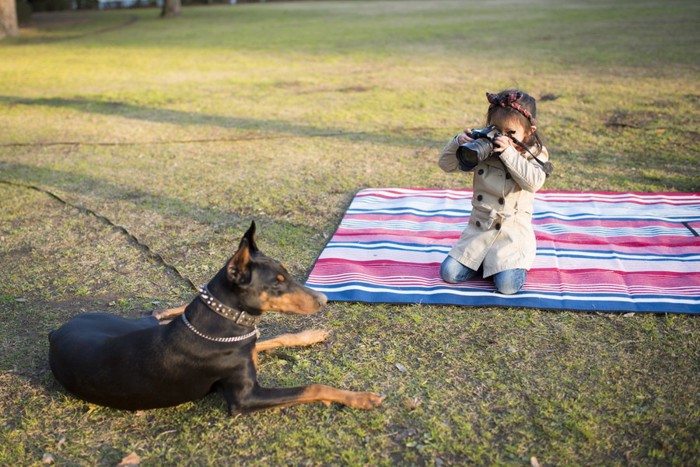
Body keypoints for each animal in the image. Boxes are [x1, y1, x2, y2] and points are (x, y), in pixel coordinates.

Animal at [49, 223, 382, 414]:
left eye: (286, 274)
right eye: (276, 283)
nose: (324, 299)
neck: (227, 323)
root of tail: (56, 333)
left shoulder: (247, 345)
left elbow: (273, 338)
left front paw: (309, 335)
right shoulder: (245, 398)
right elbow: (312, 387)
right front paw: (360, 397)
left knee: (158, 315)